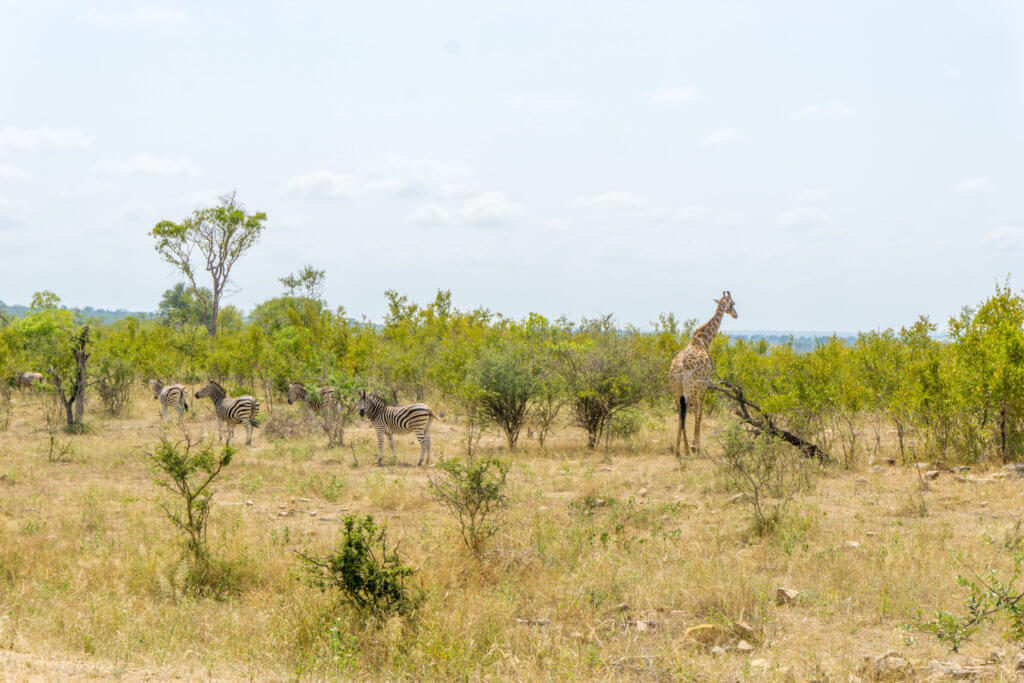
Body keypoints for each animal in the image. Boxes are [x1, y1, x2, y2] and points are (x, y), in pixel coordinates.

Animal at [671, 290, 737, 456]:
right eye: (732, 303)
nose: (736, 314)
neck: (704, 341)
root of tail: (678, 368)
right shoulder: (705, 383)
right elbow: (699, 412)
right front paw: (696, 445)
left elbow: (697, 412)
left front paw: (694, 445)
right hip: (690, 388)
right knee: (686, 411)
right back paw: (687, 449)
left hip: (675, 389)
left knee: (679, 411)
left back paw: (678, 449)